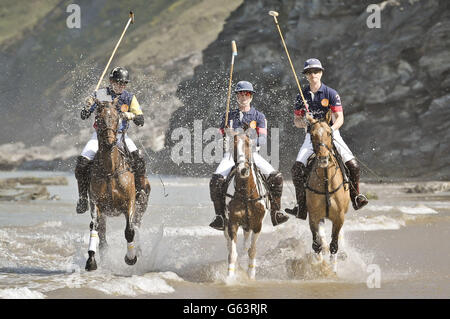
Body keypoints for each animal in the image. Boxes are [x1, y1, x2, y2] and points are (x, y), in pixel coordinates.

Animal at [83, 99, 149, 272]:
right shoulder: (96, 204)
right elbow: (94, 226)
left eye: (116, 117)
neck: (110, 169)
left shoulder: (129, 203)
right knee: (102, 236)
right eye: (98, 117)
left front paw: (131, 258)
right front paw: (91, 260)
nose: (109, 140)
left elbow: (129, 231)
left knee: (137, 227)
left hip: (141, 206)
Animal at [224, 131, 268, 282]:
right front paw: (230, 278)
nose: (243, 170)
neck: (246, 194)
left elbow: (252, 251)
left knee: (246, 246)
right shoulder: (232, 222)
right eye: (234, 145)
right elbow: (232, 253)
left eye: (249, 144)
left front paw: (251, 275)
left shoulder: (257, 224)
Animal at [304, 112, 350, 272]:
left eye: (329, 133)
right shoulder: (313, 216)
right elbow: (316, 245)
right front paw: (320, 268)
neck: (325, 181)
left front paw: (333, 271)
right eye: (312, 135)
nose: (323, 158)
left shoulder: (339, 217)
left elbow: (334, 245)